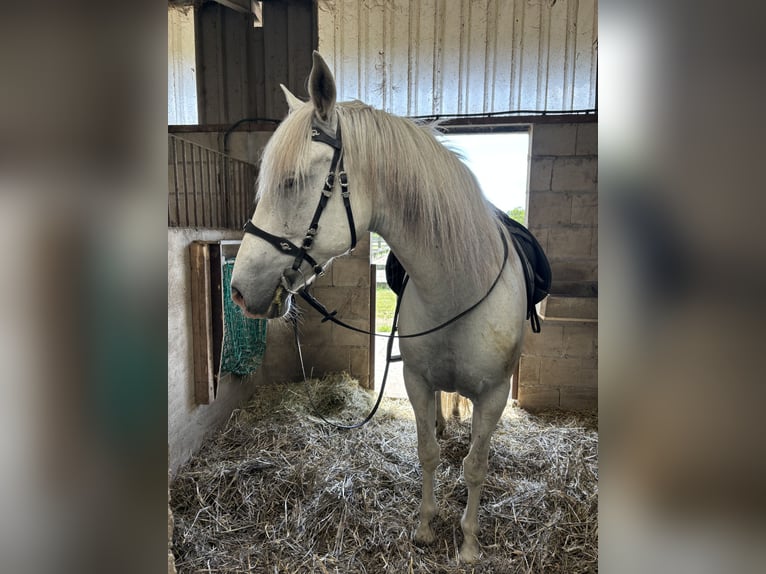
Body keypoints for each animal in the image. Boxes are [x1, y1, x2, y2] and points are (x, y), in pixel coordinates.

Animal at [231, 51, 532, 564]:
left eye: (291, 182)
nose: (237, 290)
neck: (458, 287)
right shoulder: (416, 381)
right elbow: (428, 451)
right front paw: (426, 527)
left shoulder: (493, 395)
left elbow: (476, 466)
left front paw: (469, 544)